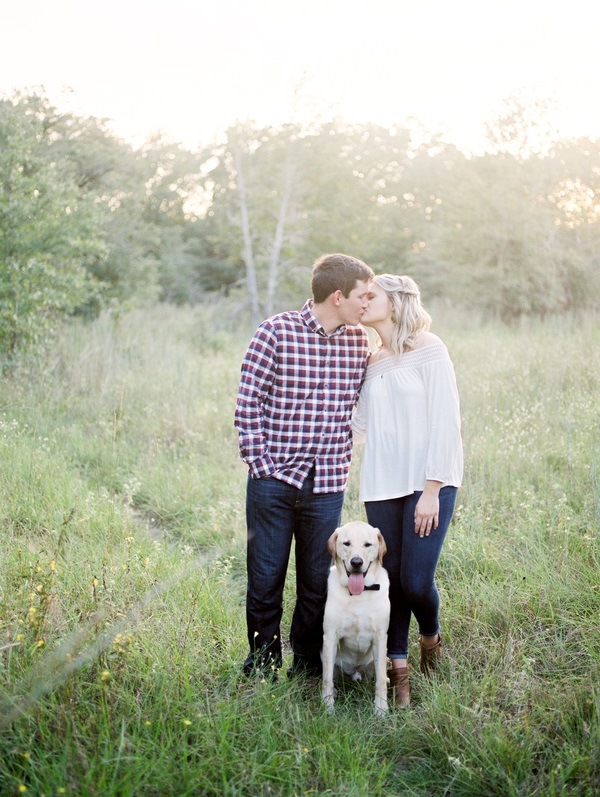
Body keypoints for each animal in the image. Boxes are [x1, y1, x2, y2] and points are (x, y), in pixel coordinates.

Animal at [322, 524, 392, 716]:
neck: (359, 595)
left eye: (368, 544)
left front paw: (381, 709)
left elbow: (380, 681)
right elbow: (326, 679)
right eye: (346, 543)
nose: (356, 562)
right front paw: (327, 708)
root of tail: (355, 672)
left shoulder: (380, 638)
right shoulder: (330, 637)